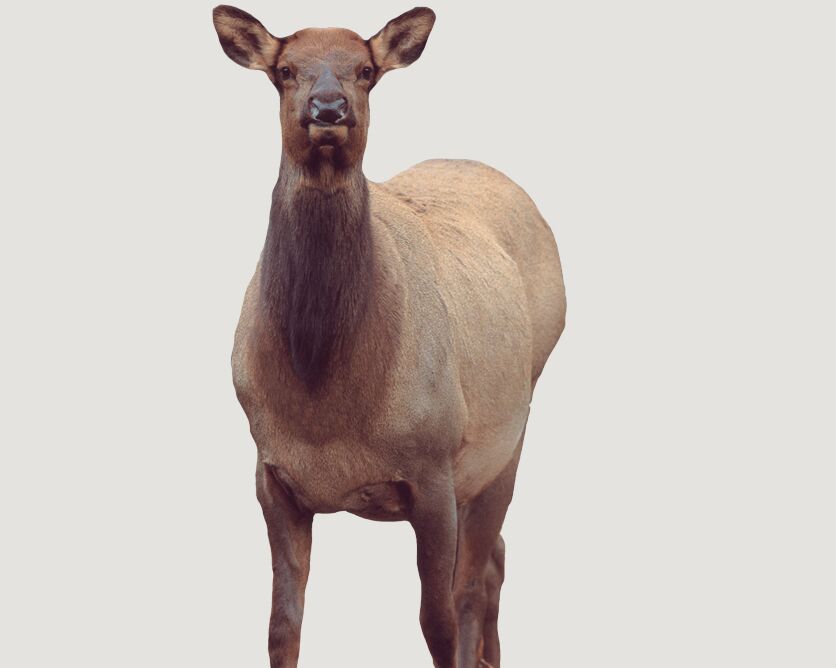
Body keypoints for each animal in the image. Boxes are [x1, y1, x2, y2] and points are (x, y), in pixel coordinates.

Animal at [212, 5, 566, 667]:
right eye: (285, 70)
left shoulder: (433, 468)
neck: (325, 408)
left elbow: (437, 620)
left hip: (506, 438)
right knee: (497, 559)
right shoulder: (271, 475)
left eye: (367, 70)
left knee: (475, 581)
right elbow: (281, 626)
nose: (329, 109)